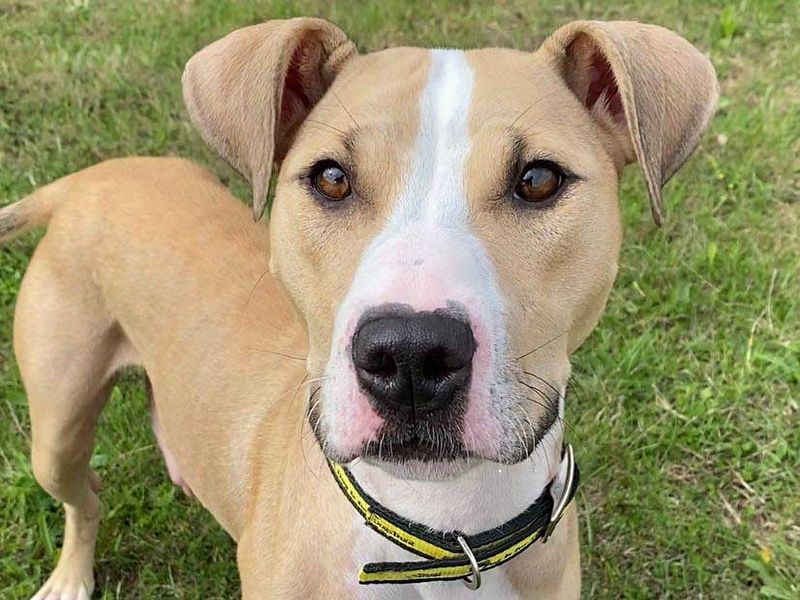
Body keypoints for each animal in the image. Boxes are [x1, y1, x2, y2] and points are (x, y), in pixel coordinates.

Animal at [4, 16, 720, 600]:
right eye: (331, 178)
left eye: (540, 180)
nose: (409, 355)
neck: (441, 529)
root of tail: (87, 180)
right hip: (57, 430)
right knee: (85, 499)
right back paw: (70, 576)